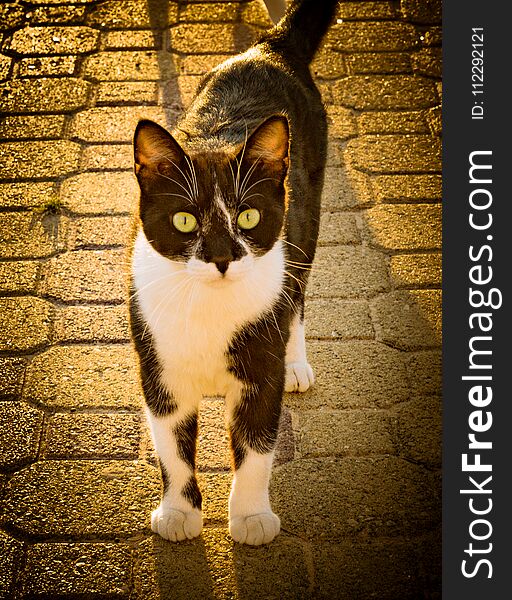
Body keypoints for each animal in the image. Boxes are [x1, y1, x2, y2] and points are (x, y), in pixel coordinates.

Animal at [129, 0, 340, 544]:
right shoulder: (159, 366)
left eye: (246, 217)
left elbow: (257, 445)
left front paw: (250, 517)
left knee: (298, 292)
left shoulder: (258, 371)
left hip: (305, 218)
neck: (210, 308)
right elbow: (172, 448)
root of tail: (267, 49)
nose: (222, 258)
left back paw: (296, 361)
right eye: (184, 220)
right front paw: (178, 513)